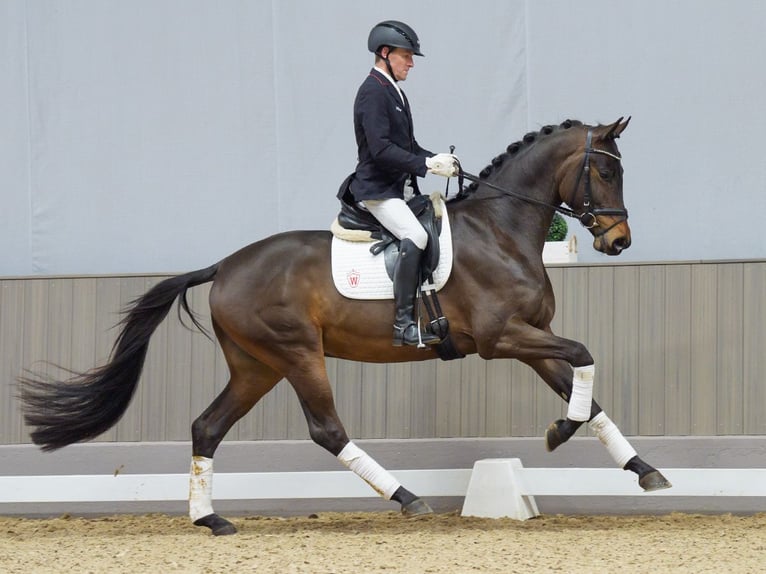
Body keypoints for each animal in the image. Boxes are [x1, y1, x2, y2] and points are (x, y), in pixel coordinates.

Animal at [21, 117, 672, 536]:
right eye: (605, 173)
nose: (618, 241)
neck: (501, 230)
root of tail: (225, 266)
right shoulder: (499, 338)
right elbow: (585, 354)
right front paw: (560, 432)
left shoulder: (530, 339)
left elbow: (587, 390)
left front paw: (642, 470)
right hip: (297, 354)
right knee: (326, 430)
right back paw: (407, 498)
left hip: (256, 365)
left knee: (208, 427)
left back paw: (211, 519)